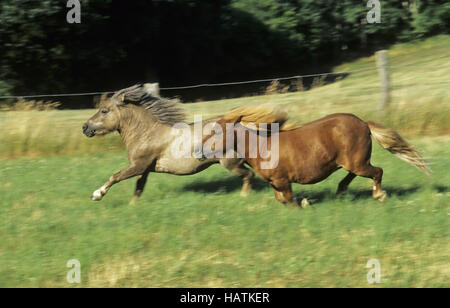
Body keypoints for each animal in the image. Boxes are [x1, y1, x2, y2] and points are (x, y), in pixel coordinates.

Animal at [201, 106, 428, 207]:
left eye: (216, 132)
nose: (201, 151)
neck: (262, 147)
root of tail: (364, 123)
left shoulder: (282, 180)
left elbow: (289, 200)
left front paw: (303, 203)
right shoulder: (275, 183)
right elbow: (282, 199)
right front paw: (304, 201)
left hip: (358, 163)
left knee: (377, 172)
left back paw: (379, 195)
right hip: (353, 162)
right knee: (354, 175)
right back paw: (341, 191)